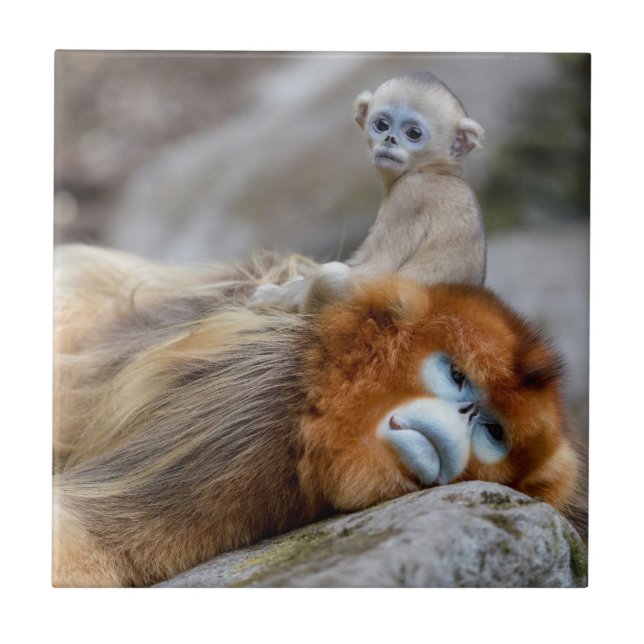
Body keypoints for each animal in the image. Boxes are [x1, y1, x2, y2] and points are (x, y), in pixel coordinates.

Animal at [250, 71, 486, 312]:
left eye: (414, 133)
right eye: (382, 124)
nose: (390, 139)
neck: (438, 170)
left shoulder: (410, 194)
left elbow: (376, 272)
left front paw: (274, 296)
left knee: (331, 275)